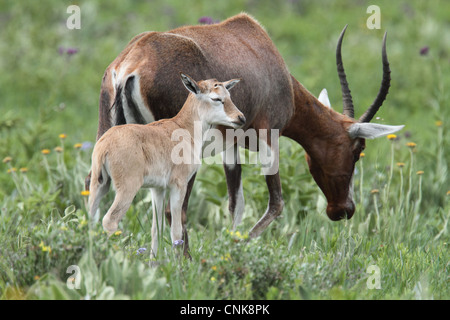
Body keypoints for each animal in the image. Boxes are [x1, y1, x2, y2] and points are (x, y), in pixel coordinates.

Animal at [87, 74, 243, 256]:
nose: (241, 118)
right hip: (127, 189)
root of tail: (105, 143)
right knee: (109, 220)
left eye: (229, 95)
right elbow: (176, 230)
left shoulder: (158, 190)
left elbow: (156, 229)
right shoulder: (178, 186)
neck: (183, 127)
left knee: (90, 218)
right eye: (216, 98)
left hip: (100, 185)